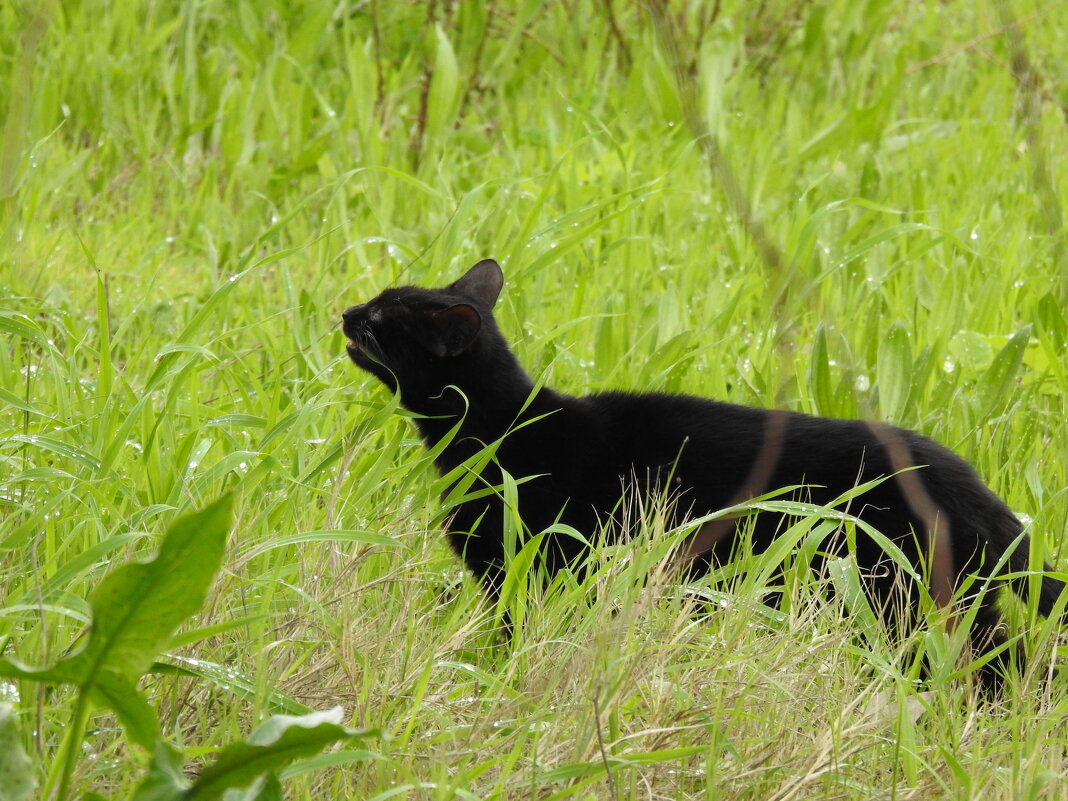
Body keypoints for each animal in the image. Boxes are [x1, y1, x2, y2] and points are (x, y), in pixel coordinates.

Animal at [346, 260, 1063, 687]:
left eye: (382, 318)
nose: (346, 312)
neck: (493, 432)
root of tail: (976, 488)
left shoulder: (538, 573)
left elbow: (519, 641)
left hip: (902, 599)